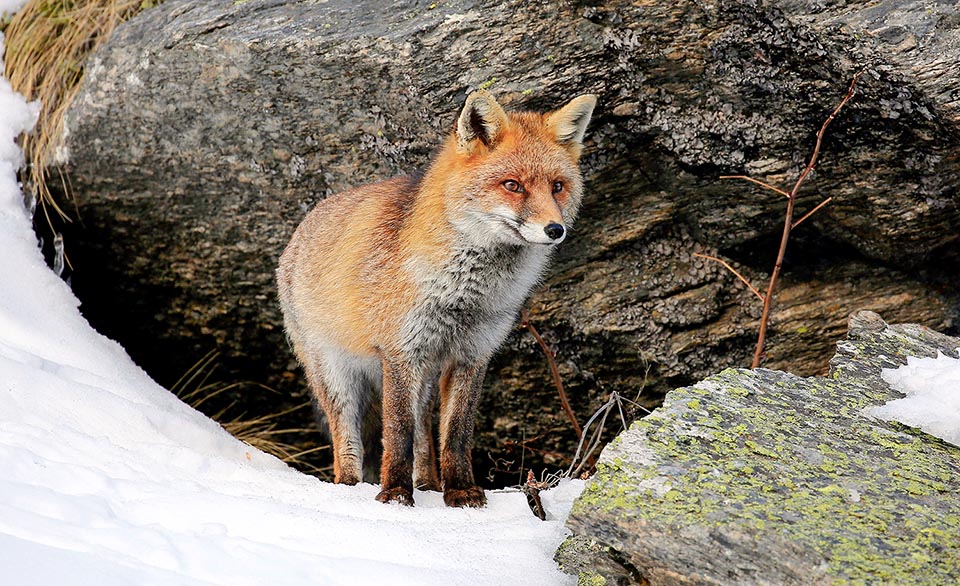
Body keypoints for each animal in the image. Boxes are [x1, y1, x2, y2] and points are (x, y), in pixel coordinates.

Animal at [274, 89, 596, 504]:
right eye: (512, 185)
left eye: (557, 186)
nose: (555, 229)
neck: (463, 296)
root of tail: (304, 226)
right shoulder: (400, 351)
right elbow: (397, 432)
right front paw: (395, 495)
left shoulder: (472, 354)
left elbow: (455, 433)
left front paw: (460, 492)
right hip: (335, 374)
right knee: (347, 438)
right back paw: (350, 488)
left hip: (426, 378)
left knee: (424, 433)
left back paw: (428, 484)